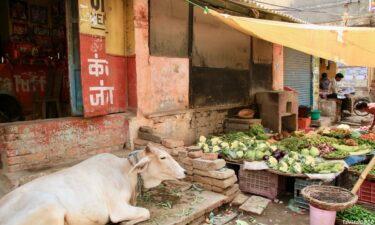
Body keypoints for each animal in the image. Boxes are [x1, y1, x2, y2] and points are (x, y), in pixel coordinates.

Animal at [0, 144, 187, 225]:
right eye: (163, 157)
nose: (185, 172)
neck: (125, 170)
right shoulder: (118, 209)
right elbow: (146, 212)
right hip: (51, 210)